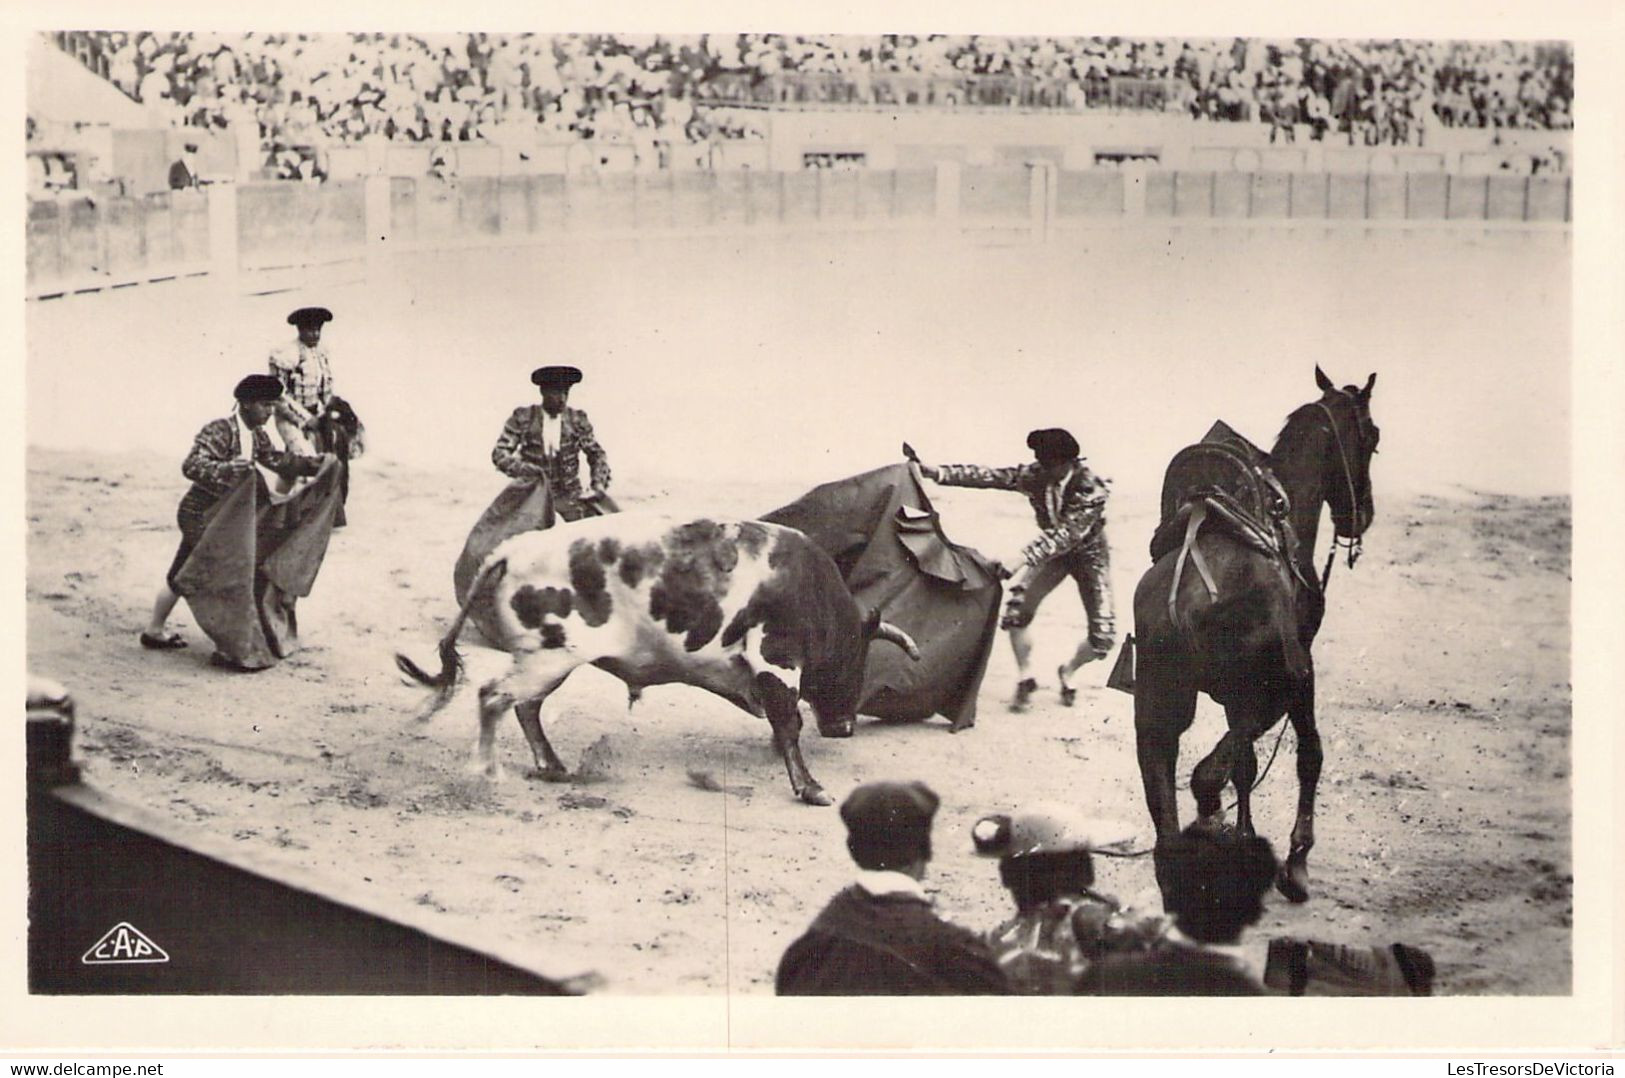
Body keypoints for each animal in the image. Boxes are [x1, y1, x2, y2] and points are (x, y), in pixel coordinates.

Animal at [394, 520, 923, 806]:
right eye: (856, 657)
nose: (844, 728)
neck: (813, 593)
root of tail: (509, 550)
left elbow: (782, 725)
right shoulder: (777, 661)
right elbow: (789, 724)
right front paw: (812, 789)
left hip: (548, 661)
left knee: (524, 707)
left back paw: (553, 767)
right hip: (547, 658)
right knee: (495, 698)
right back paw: (487, 771)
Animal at [1131, 367, 1384, 904]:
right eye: (1372, 437)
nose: (1362, 515)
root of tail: (1186, 599)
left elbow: (1232, 766)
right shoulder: (1297, 676)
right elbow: (1306, 754)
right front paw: (1296, 862)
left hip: (1158, 713)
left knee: (1168, 831)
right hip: (1272, 686)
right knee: (1237, 764)